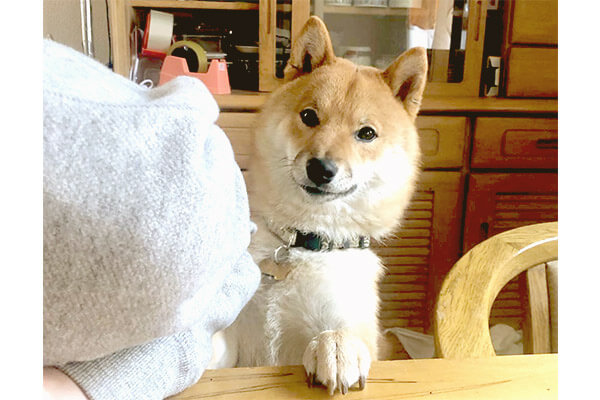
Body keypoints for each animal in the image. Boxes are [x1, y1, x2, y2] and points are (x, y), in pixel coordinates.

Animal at [211, 14, 426, 394]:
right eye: (309, 116)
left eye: (367, 133)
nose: (321, 168)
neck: (305, 243)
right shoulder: (235, 337)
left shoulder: (345, 315)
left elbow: (342, 330)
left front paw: (338, 347)